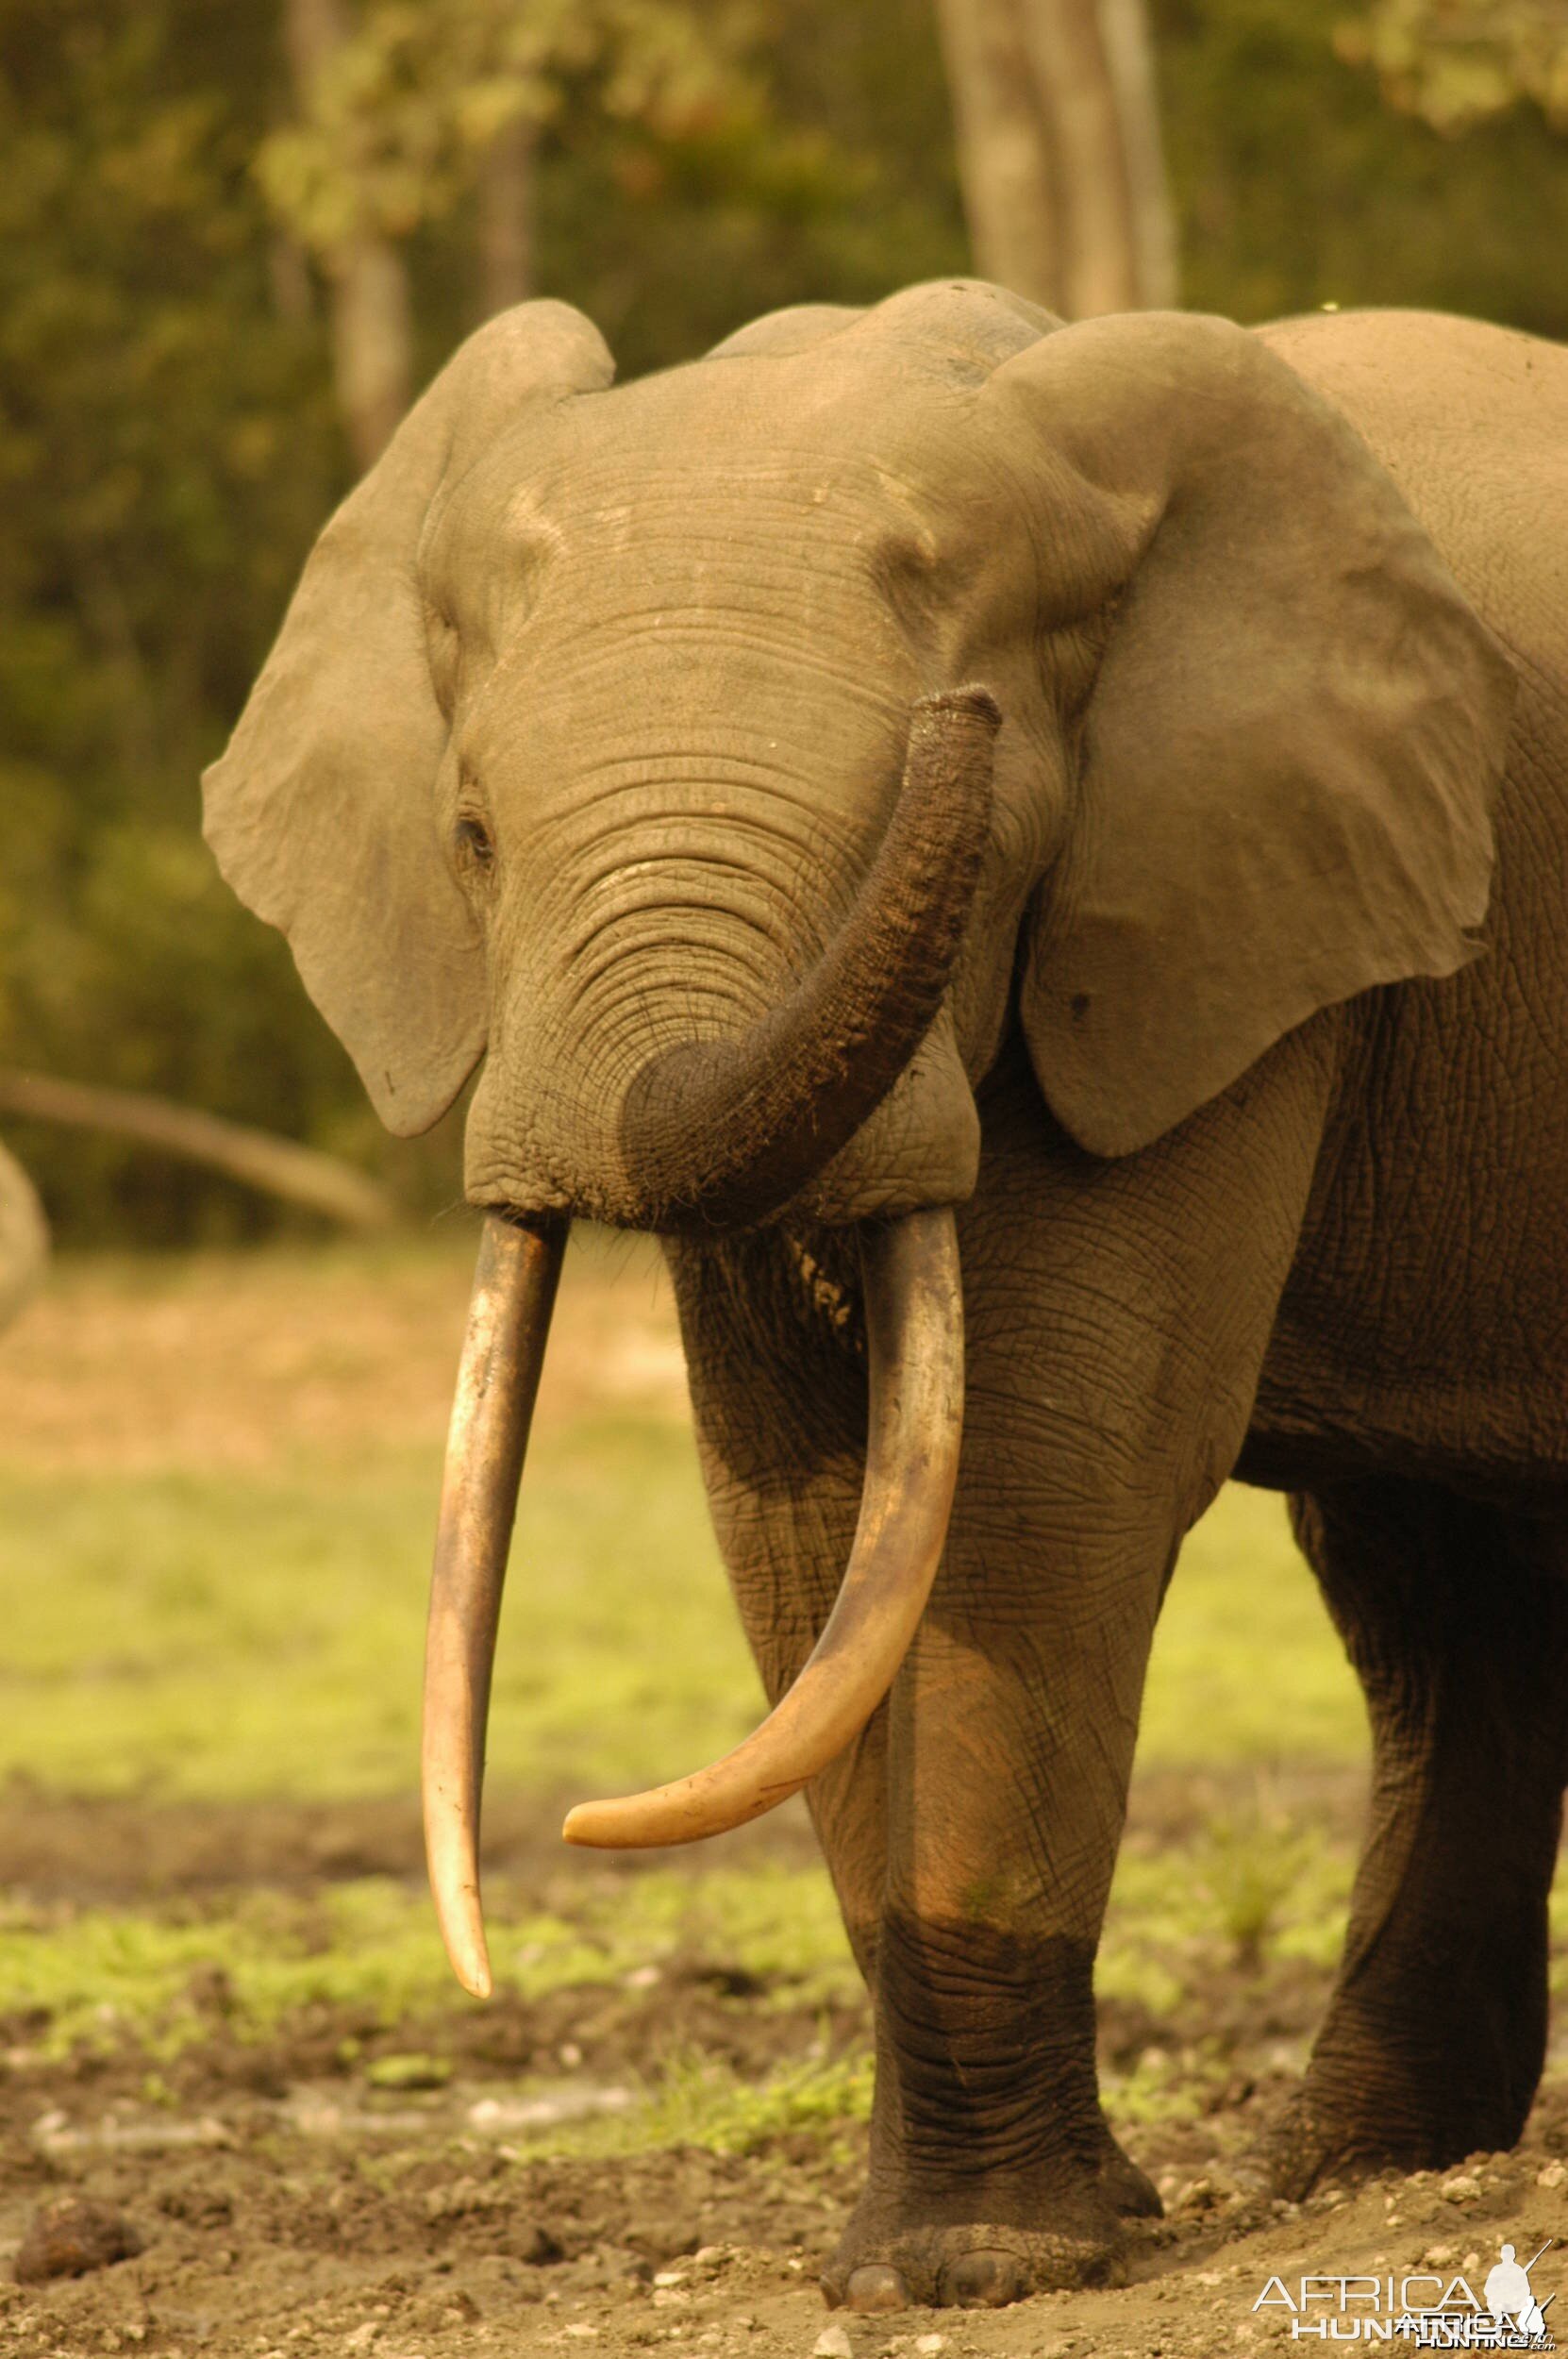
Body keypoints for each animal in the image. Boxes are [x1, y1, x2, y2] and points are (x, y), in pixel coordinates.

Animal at [201, 280, 1556, 2321]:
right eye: (472, 839)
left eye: (973, 833)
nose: (958, 715)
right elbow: (806, 1521)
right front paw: (950, 2251)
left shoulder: (1213, 928)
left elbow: (1025, 1504)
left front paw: (997, 2264)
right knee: (1437, 1589)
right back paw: (1358, 2166)